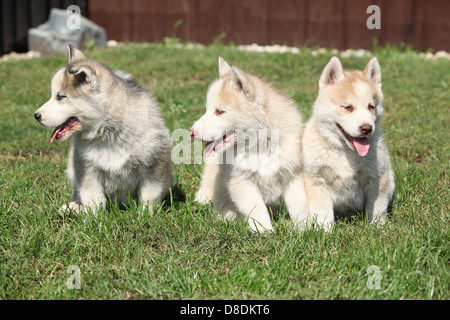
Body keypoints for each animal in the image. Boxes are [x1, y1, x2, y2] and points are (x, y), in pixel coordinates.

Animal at [33, 45, 172, 214]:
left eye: (60, 97)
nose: (36, 116)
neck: (108, 132)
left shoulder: (153, 164)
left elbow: (149, 195)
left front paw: (146, 215)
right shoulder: (86, 168)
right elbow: (93, 197)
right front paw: (94, 217)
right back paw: (74, 207)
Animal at [188, 57, 308, 232]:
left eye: (219, 111)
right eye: (207, 109)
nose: (191, 132)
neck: (260, 146)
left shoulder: (292, 175)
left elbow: (299, 206)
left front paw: (305, 229)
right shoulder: (241, 181)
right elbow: (257, 209)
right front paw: (264, 231)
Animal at [302, 56, 394, 231]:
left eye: (371, 107)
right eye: (348, 107)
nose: (367, 128)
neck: (345, 152)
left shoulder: (377, 179)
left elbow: (376, 209)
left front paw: (377, 229)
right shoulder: (317, 180)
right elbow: (323, 213)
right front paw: (324, 232)